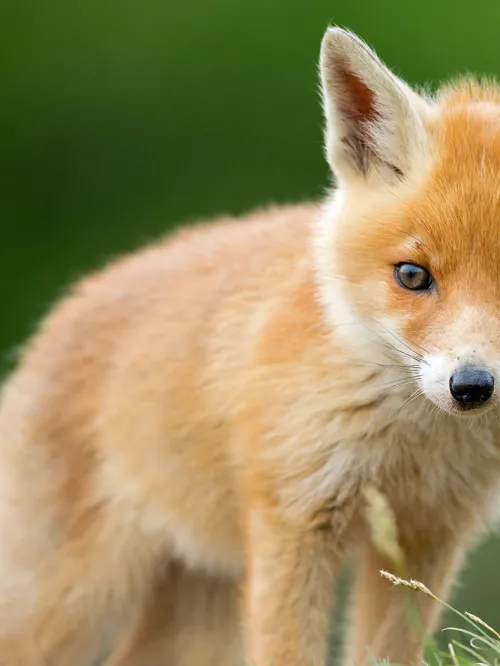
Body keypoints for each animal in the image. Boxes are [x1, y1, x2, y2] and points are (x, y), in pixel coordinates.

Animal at [2, 23, 500, 664]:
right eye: (412, 276)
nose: (471, 386)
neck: (413, 443)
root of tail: (62, 311)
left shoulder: (423, 540)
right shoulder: (291, 521)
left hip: (198, 614)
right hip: (67, 604)